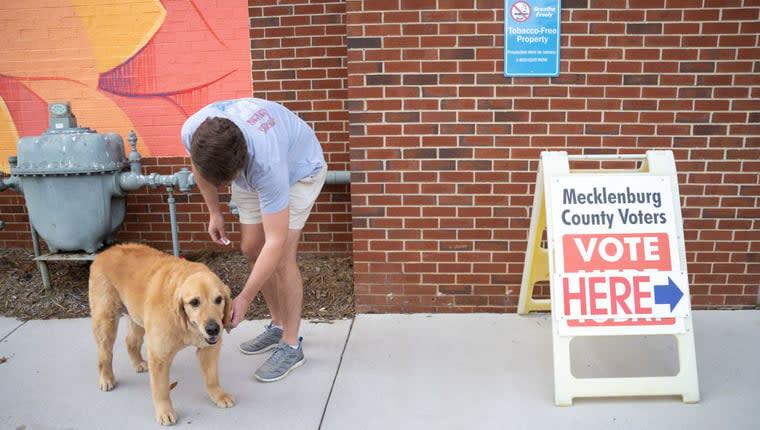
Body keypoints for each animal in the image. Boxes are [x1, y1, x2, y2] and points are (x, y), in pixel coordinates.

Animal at [88, 244, 235, 424]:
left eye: (219, 300)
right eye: (194, 302)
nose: (213, 329)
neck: (185, 324)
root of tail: (105, 252)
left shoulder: (209, 349)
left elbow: (212, 377)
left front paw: (218, 395)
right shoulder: (159, 356)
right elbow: (161, 390)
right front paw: (164, 411)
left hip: (137, 318)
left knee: (130, 341)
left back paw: (138, 363)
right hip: (106, 321)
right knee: (105, 355)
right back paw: (106, 378)